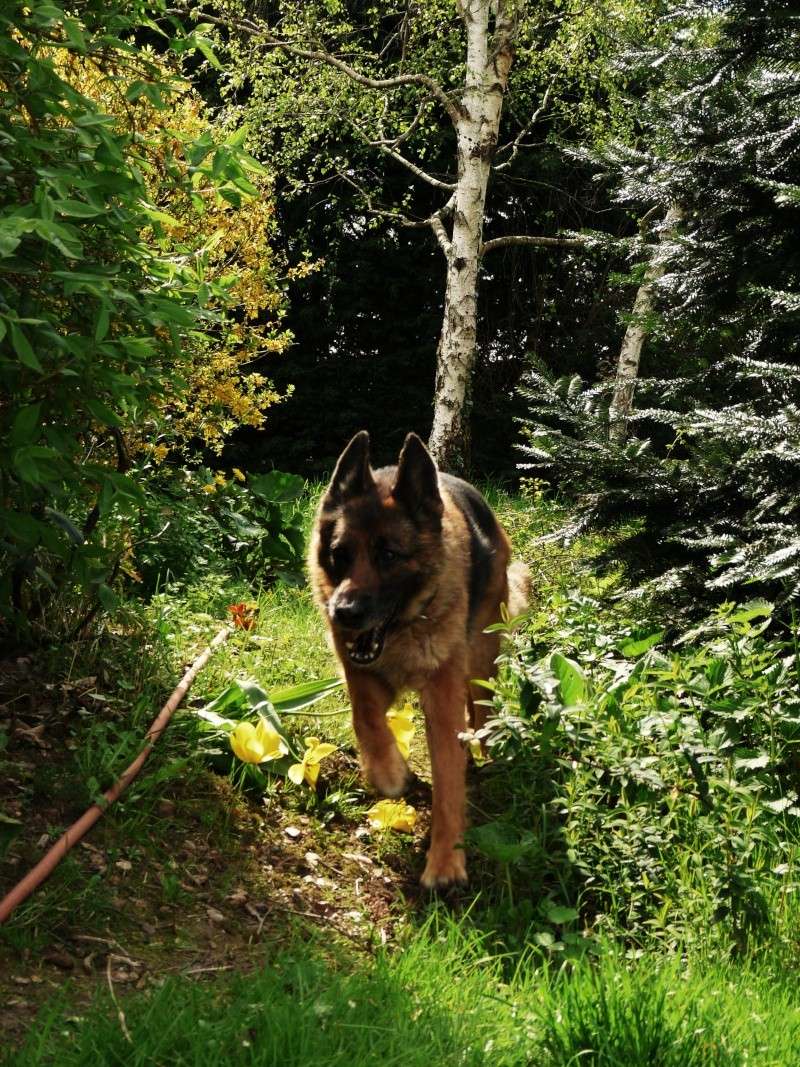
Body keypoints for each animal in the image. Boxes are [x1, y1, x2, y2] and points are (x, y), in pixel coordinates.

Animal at [309, 428, 529, 887]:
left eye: (389, 555)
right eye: (340, 553)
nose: (344, 613)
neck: (405, 629)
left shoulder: (442, 699)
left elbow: (447, 782)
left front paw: (444, 862)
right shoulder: (360, 671)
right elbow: (365, 718)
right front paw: (388, 772)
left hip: (480, 657)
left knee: (481, 707)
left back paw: (483, 750)